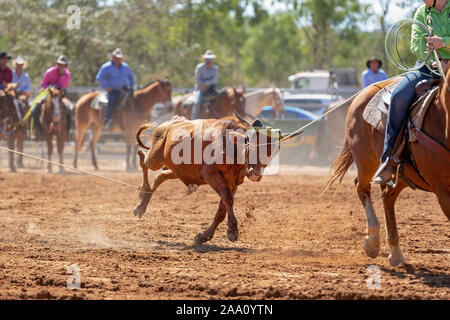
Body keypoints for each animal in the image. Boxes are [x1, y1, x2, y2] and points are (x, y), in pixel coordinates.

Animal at [324, 72, 450, 264]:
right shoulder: (443, 192)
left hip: (404, 174)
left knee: (387, 196)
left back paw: (396, 252)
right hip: (365, 160)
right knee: (362, 188)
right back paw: (372, 242)